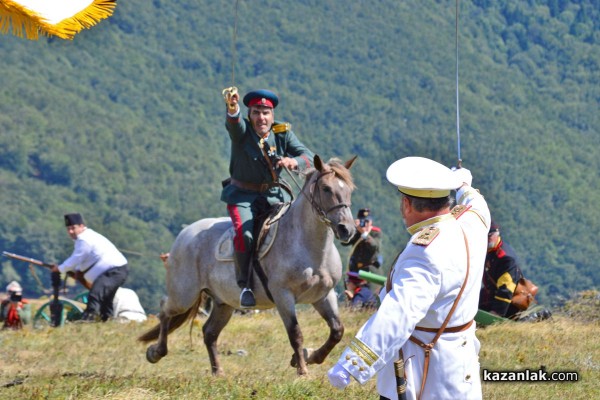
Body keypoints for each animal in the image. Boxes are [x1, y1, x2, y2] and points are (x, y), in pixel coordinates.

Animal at [139, 154, 356, 376]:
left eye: (349, 189)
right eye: (326, 188)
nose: (346, 230)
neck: (308, 245)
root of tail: (185, 234)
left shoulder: (323, 296)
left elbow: (337, 330)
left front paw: (310, 356)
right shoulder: (283, 296)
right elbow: (295, 333)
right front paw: (302, 370)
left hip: (223, 302)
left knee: (209, 332)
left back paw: (218, 372)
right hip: (184, 295)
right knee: (165, 311)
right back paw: (156, 352)